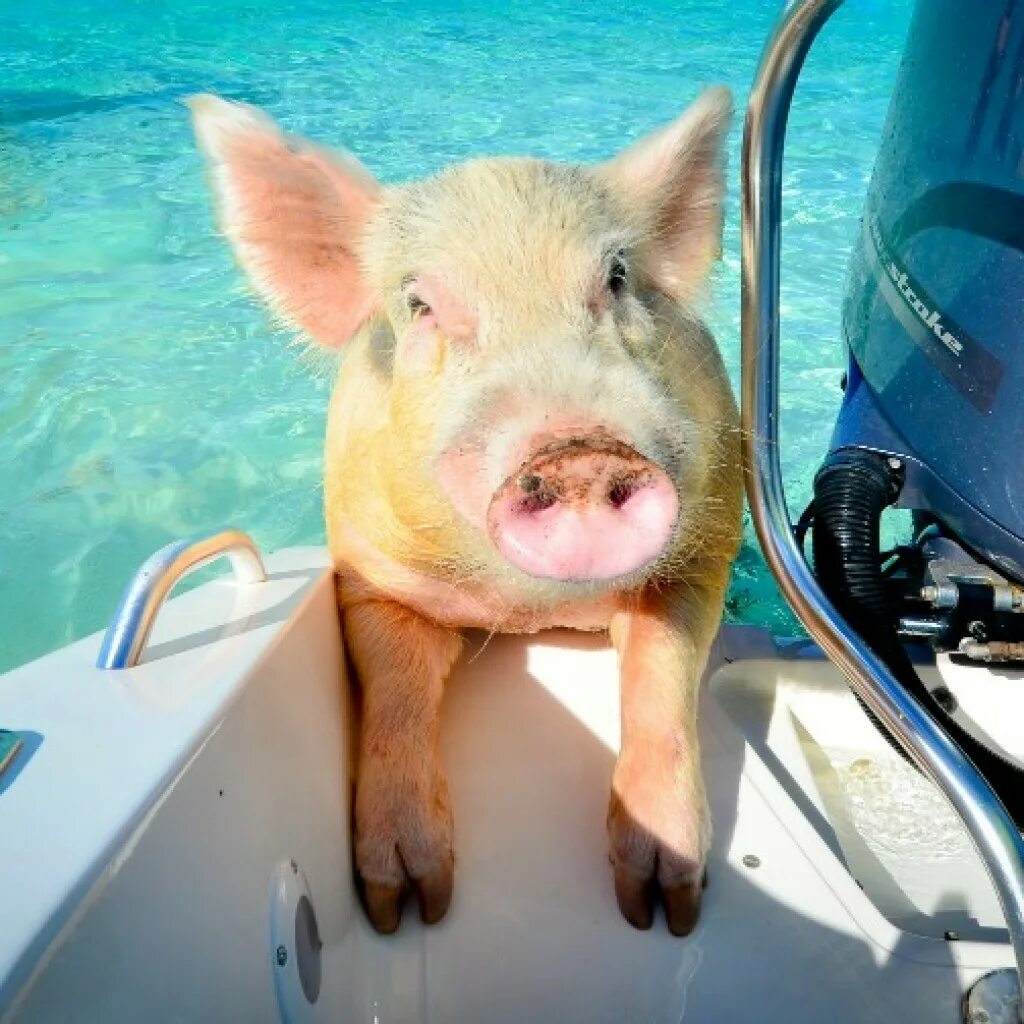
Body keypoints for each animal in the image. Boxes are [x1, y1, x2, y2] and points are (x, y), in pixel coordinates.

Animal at [188, 88, 741, 937]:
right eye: (421, 304)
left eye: (615, 278)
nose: (579, 449)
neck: (531, 609)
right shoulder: (371, 575)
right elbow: (398, 693)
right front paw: (405, 907)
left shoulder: (706, 547)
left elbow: (662, 682)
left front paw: (664, 910)